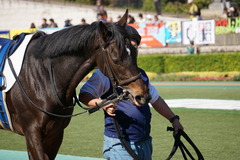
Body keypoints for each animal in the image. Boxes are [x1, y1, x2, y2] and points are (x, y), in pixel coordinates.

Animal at [0, 10, 150, 159]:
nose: (143, 95)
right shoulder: (32, 133)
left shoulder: (55, 134)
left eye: (134, 53)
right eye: (116, 60)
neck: (42, 76)